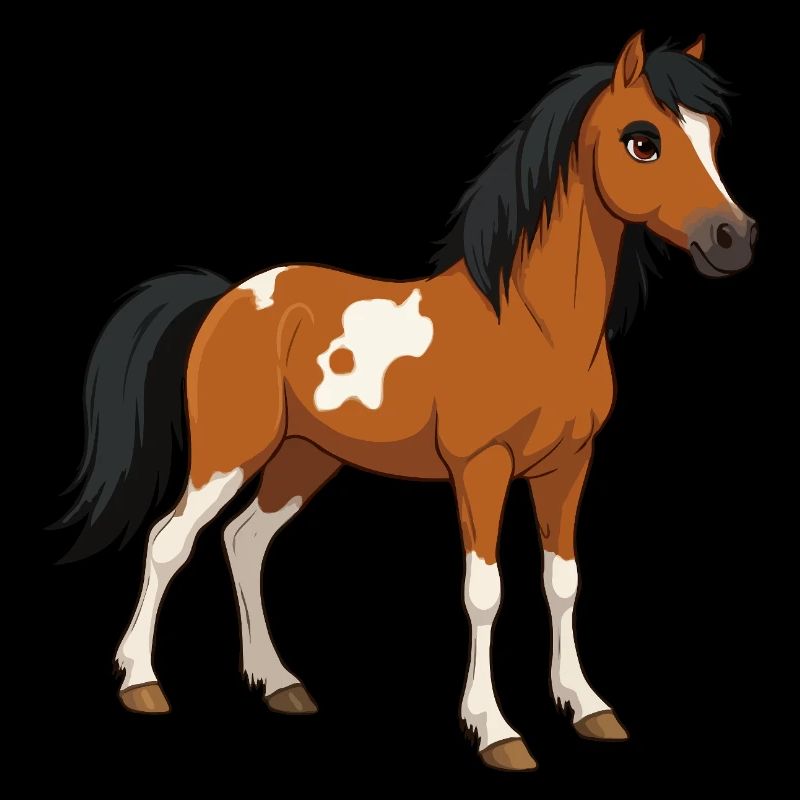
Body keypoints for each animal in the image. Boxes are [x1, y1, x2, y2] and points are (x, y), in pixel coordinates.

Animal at [57, 32, 756, 771]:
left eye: (712, 136)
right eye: (642, 141)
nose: (733, 239)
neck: (532, 326)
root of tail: (230, 296)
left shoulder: (568, 467)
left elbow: (563, 582)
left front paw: (589, 707)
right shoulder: (481, 470)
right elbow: (485, 593)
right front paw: (496, 730)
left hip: (306, 459)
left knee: (245, 542)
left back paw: (279, 684)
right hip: (228, 454)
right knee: (170, 541)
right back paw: (141, 683)